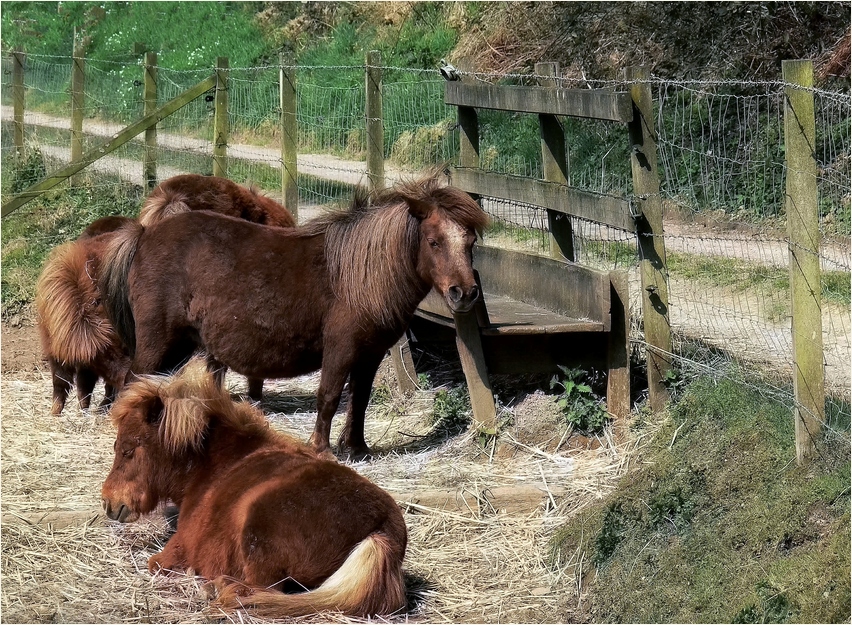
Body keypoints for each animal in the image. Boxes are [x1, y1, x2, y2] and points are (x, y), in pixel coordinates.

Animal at [100, 173, 490, 456]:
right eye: (434, 241)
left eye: (470, 242)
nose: (465, 293)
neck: (355, 276)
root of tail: (144, 233)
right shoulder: (340, 350)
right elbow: (329, 397)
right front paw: (321, 449)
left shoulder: (371, 354)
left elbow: (359, 399)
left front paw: (357, 448)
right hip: (159, 343)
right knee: (131, 383)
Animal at [101, 358, 408, 616]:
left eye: (127, 450)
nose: (108, 502)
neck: (212, 465)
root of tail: (382, 528)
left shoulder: (179, 546)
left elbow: (156, 563)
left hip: (257, 532)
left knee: (261, 589)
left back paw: (214, 588)